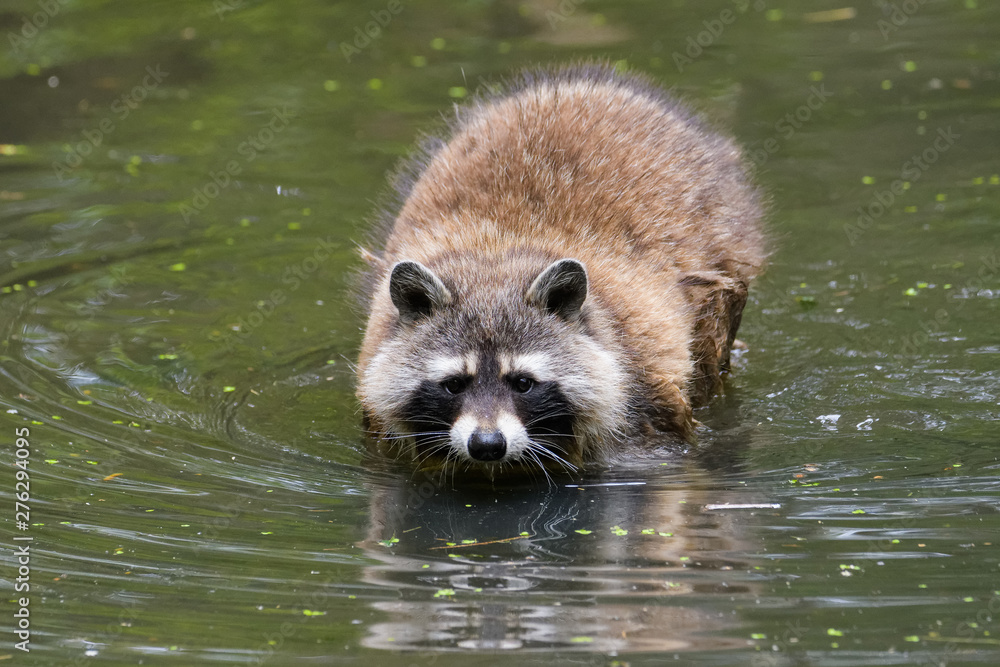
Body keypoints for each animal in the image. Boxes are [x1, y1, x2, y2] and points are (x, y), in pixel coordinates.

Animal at [355, 64, 765, 471]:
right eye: (454, 384)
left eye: (523, 383)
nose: (487, 445)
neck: (495, 258)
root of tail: (585, 84)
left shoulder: (648, 388)